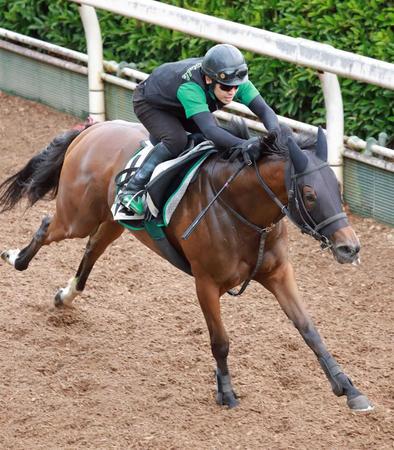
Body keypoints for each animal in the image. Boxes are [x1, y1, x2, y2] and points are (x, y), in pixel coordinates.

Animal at [0, 118, 374, 412]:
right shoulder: (205, 282)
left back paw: (65, 296)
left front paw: (349, 389)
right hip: (77, 217)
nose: (349, 247)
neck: (241, 211)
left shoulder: (278, 274)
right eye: (310, 194)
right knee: (48, 225)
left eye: (336, 187)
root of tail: (93, 128)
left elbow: (309, 330)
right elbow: (220, 340)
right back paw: (16, 258)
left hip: (112, 221)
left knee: (91, 249)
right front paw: (226, 393)